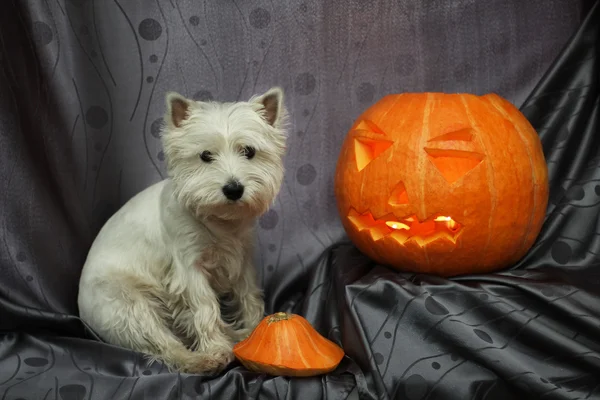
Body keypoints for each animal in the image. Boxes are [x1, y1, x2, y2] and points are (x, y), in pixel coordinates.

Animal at [77, 87, 288, 376]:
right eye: (205, 155)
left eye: (249, 151)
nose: (233, 189)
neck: (218, 222)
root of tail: (81, 313)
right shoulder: (189, 269)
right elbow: (205, 309)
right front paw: (216, 349)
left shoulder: (242, 259)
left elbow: (249, 296)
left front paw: (255, 330)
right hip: (129, 303)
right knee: (164, 345)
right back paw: (200, 359)